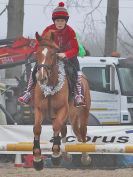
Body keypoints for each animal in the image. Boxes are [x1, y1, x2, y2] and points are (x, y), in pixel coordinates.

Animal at [32, 30, 91, 170]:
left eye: (53, 53)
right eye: (37, 52)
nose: (42, 77)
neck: (51, 84)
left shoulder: (63, 109)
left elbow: (56, 126)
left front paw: (55, 156)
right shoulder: (39, 109)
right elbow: (37, 128)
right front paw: (37, 159)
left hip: (82, 112)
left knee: (82, 132)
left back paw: (85, 157)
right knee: (64, 130)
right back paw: (66, 154)